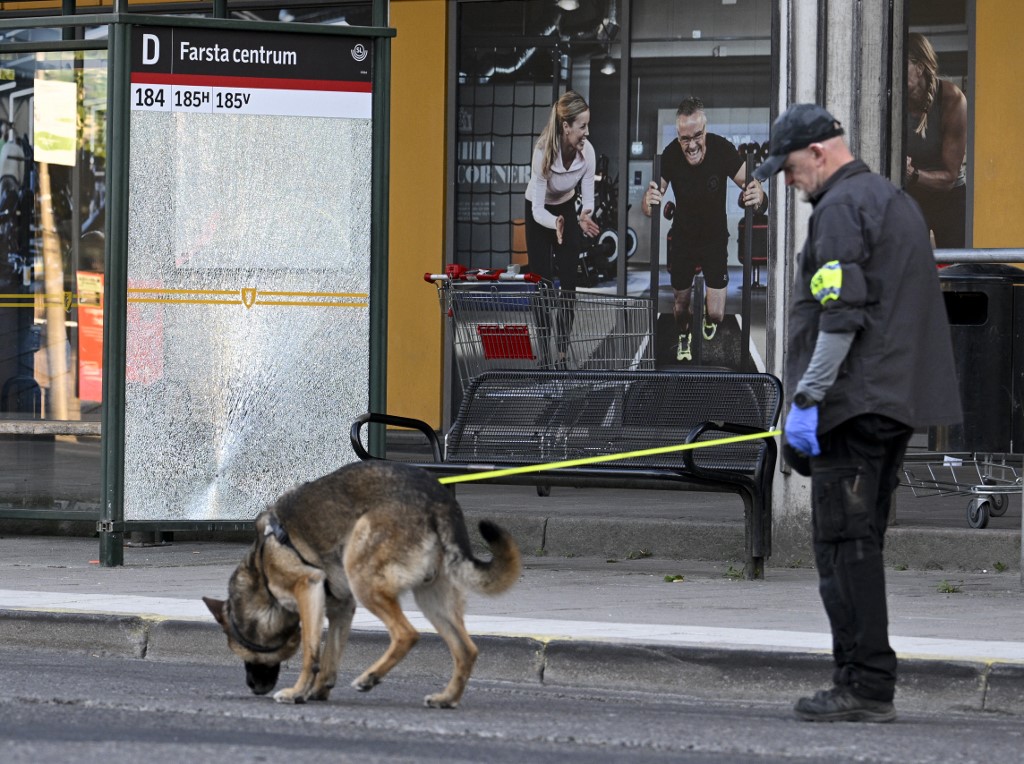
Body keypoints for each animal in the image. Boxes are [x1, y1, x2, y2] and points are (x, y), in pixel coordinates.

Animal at [201, 454, 520, 704]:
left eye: (241, 653)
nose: (253, 688)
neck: (262, 574)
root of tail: (438, 499)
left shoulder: (308, 591)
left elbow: (311, 652)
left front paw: (297, 692)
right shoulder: (341, 607)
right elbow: (329, 655)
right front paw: (317, 691)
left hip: (364, 579)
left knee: (407, 634)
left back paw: (371, 676)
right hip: (431, 600)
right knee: (466, 650)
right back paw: (448, 697)